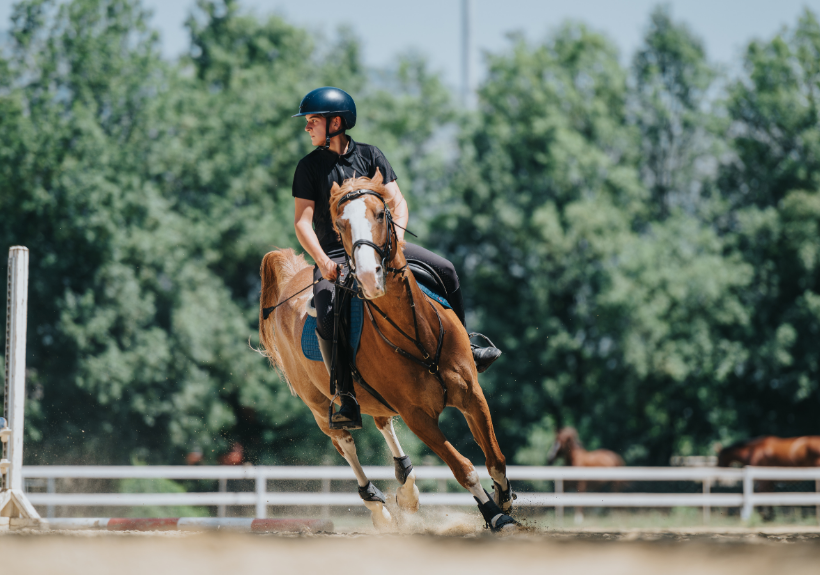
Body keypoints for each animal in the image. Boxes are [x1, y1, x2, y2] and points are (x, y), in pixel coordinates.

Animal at [258, 169, 517, 532]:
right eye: (340, 224)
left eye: (381, 214)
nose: (369, 276)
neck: (417, 337)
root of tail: (291, 278)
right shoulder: (417, 417)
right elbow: (462, 468)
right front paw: (494, 514)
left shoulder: (471, 395)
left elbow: (495, 457)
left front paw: (504, 498)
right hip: (320, 405)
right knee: (344, 442)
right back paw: (376, 505)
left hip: (373, 397)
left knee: (382, 423)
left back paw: (407, 486)